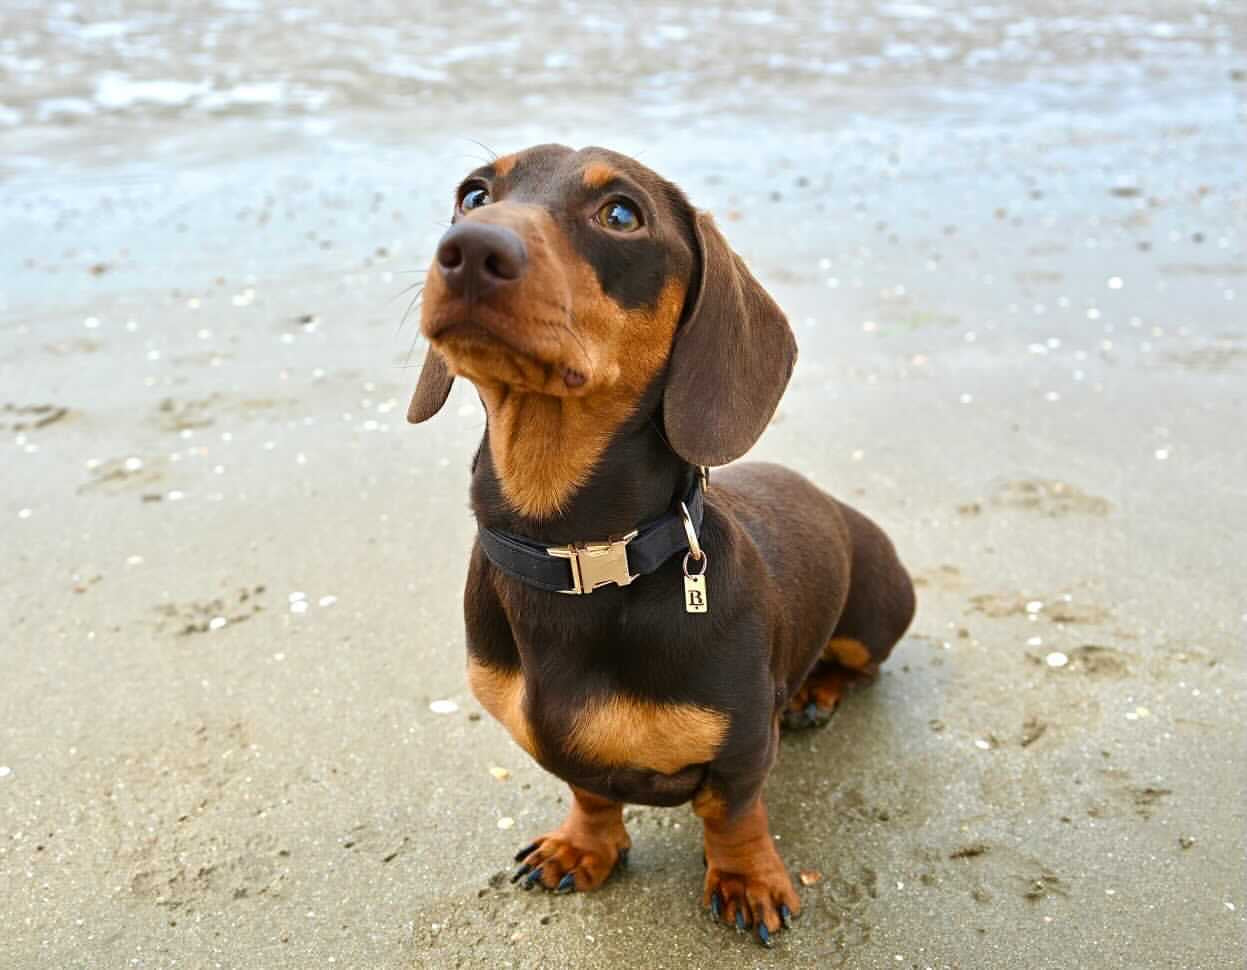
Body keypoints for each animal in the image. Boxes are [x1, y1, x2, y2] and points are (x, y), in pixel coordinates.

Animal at [409, 143, 917, 942]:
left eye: (621, 213)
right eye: (473, 194)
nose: (468, 250)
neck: (577, 556)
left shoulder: (743, 745)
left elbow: (732, 813)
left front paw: (747, 879)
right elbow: (590, 793)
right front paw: (583, 848)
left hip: (875, 615)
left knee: (858, 665)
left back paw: (816, 692)